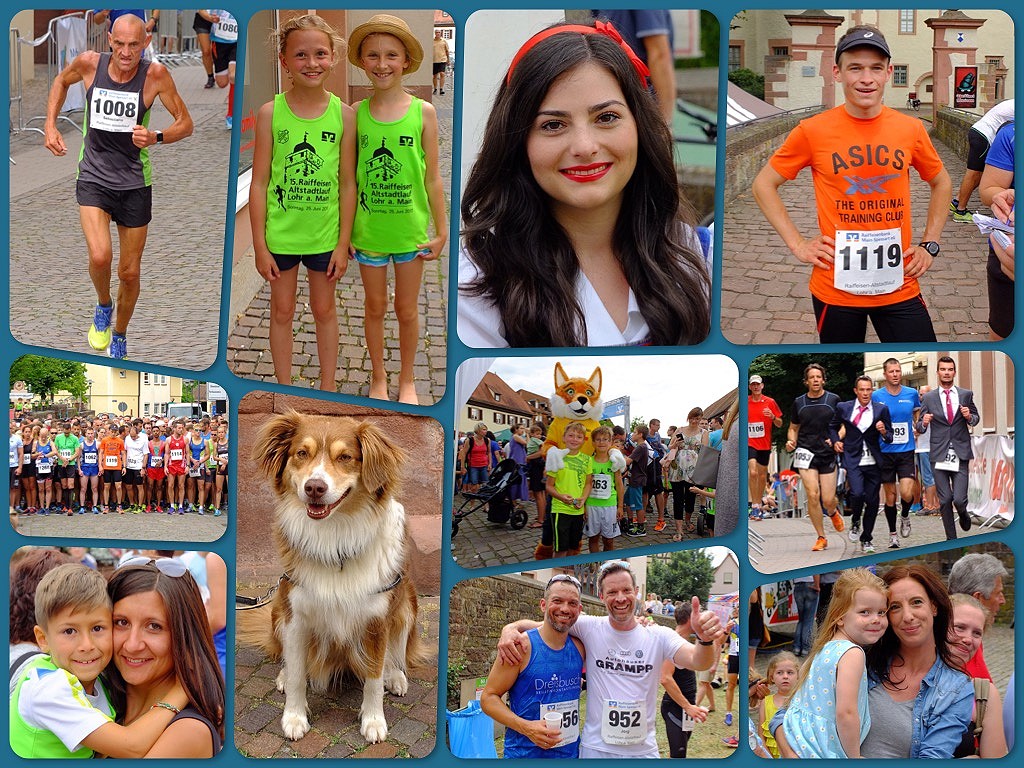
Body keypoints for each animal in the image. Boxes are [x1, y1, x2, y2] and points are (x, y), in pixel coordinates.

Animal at [239, 415, 428, 745]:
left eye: (345, 457)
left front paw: (374, 721)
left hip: (407, 605)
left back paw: (395, 676)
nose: (314, 487)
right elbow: (299, 673)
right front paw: (294, 717)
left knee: (395, 654)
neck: (335, 537)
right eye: (302, 453)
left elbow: (374, 677)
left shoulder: (377, 620)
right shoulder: (296, 616)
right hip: (278, 610)